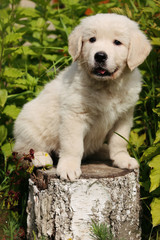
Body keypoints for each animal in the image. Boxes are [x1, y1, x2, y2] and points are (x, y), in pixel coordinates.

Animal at [13, 13, 151, 180]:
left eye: (117, 42)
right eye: (92, 39)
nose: (100, 56)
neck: (107, 86)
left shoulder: (124, 116)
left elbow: (119, 141)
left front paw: (122, 158)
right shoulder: (74, 115)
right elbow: (73, 146)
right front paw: (69, 167)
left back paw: (104, 151)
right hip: (30, 125)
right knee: (23, 150)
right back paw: (41, 158)